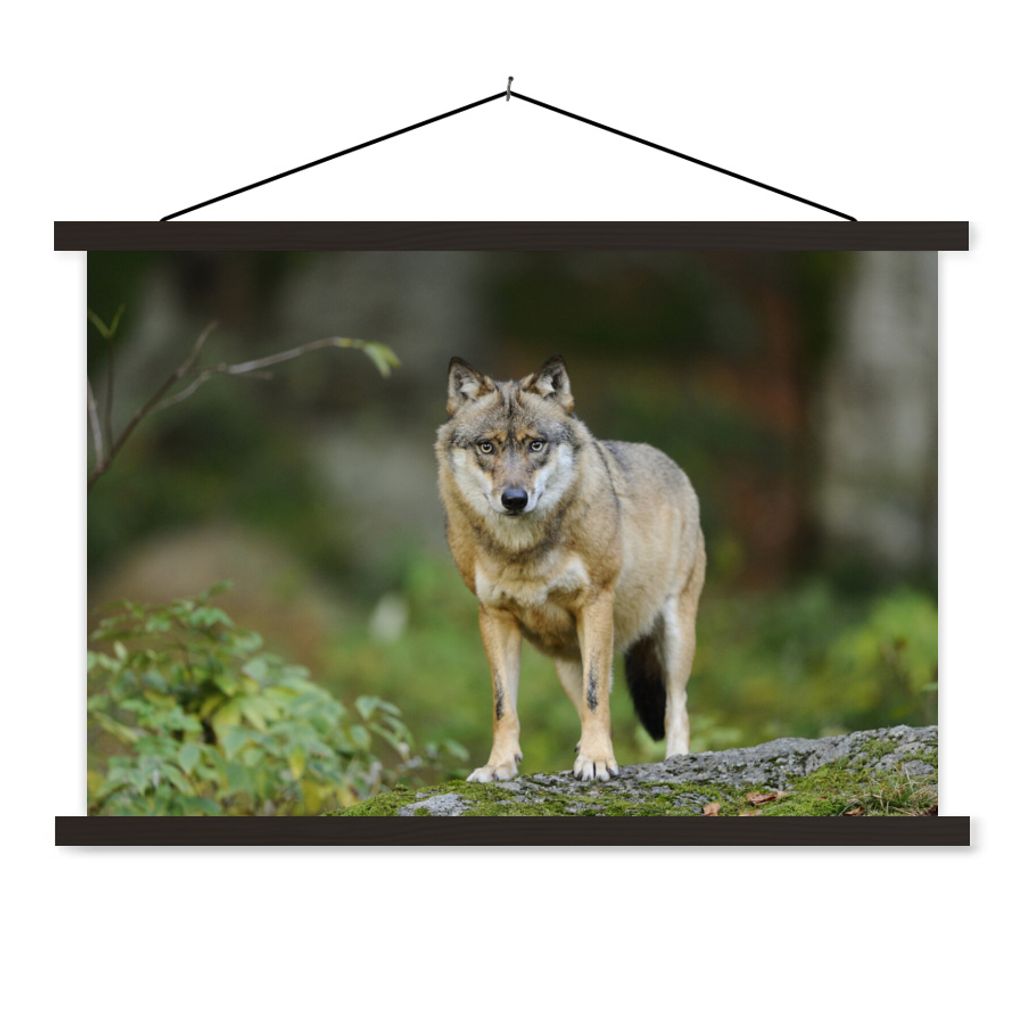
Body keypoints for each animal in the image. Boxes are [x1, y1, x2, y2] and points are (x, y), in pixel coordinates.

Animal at [435, 355, 706, 783]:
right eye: (487, 446)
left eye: (536, 444)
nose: (514, 499)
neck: (523, 552)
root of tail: (672, 464)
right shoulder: (494, 616)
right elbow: (503, 705)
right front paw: (499, 765)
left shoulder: (595, 602)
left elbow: (597, 698)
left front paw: (596, 761)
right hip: (566, 663)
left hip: (675, 634)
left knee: (676, 705)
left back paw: (675, 760)